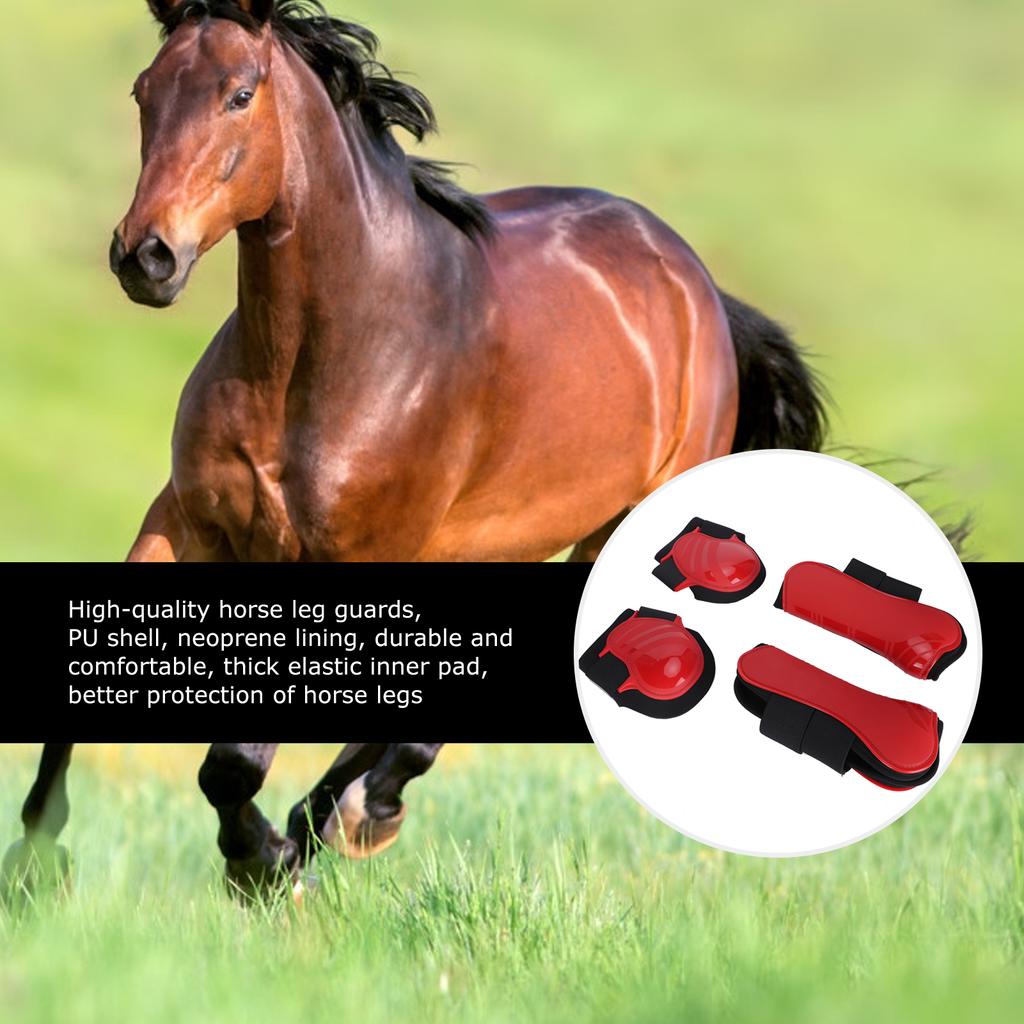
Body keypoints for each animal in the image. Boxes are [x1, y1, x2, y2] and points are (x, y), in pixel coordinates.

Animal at [5, 0, 825, 896]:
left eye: (239, 94)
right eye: (144, 91)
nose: (145, 256)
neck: (321, 356)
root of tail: (696, 286)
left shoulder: (350, 558)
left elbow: (234, 762)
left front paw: (259, 860)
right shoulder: (190, 523)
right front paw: (35, 864)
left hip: (606, 534)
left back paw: (352, 816)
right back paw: (332, 819)